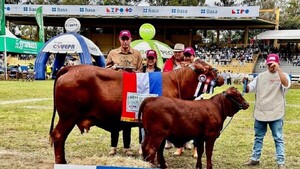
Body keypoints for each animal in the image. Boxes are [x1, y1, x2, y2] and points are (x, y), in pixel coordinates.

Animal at [48, 59, 223, 164]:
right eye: (210, 69)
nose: (221, 78)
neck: (176, 82)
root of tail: (72, 67)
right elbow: (157, 147)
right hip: (68, 116)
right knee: (58, 136)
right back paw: (61, 162)